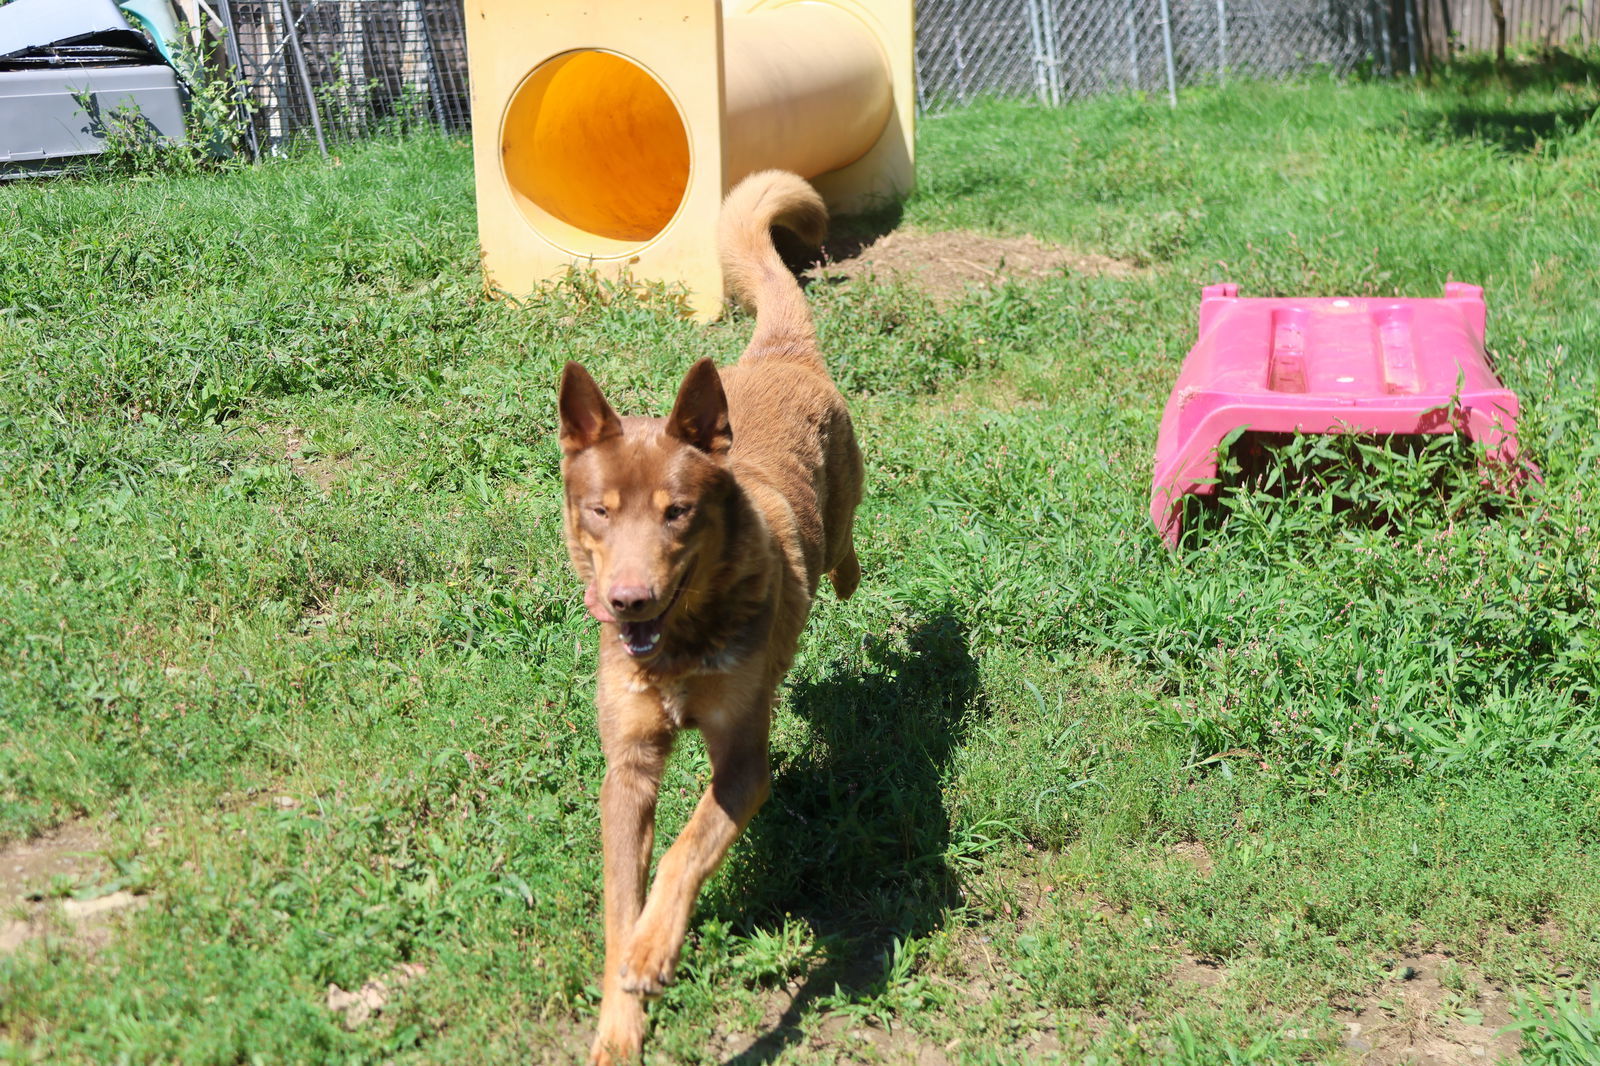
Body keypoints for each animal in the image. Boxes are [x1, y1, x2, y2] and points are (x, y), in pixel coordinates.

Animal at [560, 170, 870, 1056]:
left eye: (678, 513)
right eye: (599, 511)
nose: (628, 600)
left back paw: (844, 575)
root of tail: (775, 353)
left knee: (843, 550)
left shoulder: (742, 759)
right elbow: (620, 899)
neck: (680, 649)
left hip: (843, 500)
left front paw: (653, 952)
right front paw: (619, 1025)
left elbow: (687, 846)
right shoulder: (627, 766)